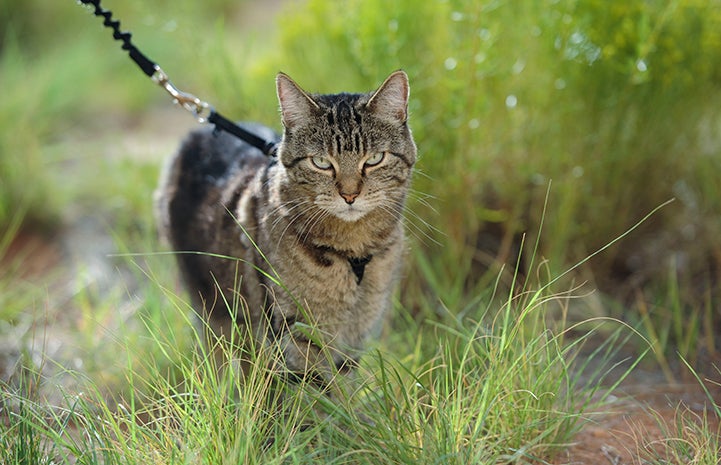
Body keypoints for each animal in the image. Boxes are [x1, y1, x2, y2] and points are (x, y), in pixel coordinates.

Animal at [158, 70, 416, 382]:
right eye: (321, 162)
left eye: (375, 159)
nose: (350, 195)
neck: (352, 251)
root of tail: (199, 131)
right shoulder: (295, 331)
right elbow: (319, 387)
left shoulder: (354, 337)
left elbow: (344, 387)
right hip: (213, 308)